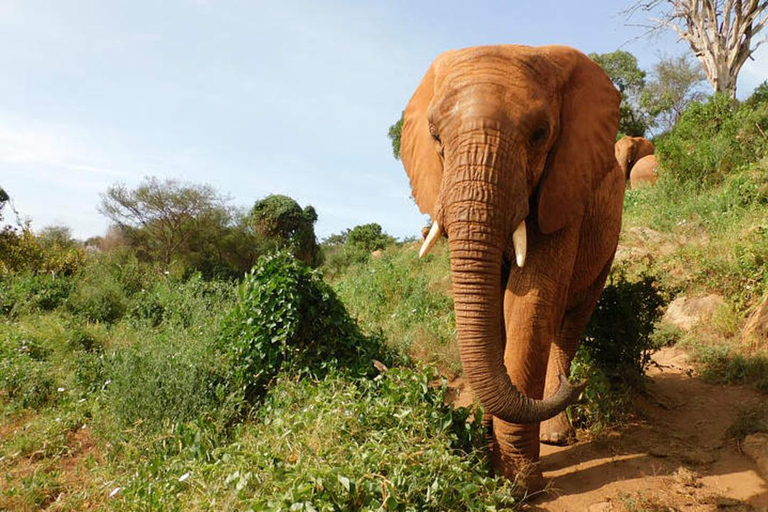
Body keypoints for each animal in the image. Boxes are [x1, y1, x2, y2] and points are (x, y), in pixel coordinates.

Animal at [400, 46, 628, 490]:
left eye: (540, 134)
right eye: (435, 136)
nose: (577, 385)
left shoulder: (564, 187)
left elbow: (527, 303)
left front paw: (519, 481)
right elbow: (495, 311)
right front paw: (485, 450)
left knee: (571, 322)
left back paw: (556, 430)